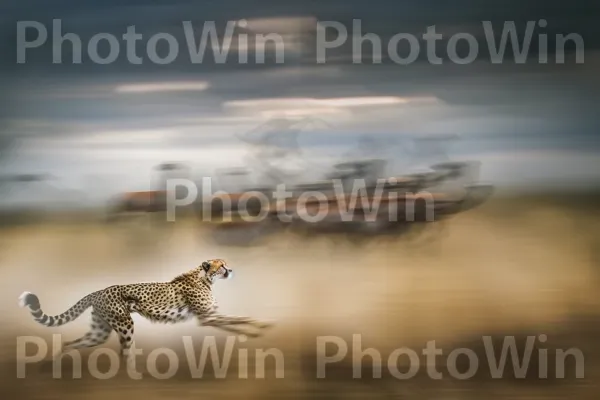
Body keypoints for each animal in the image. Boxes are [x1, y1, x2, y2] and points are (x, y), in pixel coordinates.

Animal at [17, 260, 274, 362]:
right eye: (221, 265)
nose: (230, 270)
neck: (204, 277)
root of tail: (98, 291)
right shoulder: (207, 318)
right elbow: (237, 319)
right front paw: (256, 328)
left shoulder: (210, 316)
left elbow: (237, 318)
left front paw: (257, 328)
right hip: (125, 325)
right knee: (125, 354)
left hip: (99, 332)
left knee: (70, 343)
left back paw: (54, 366)